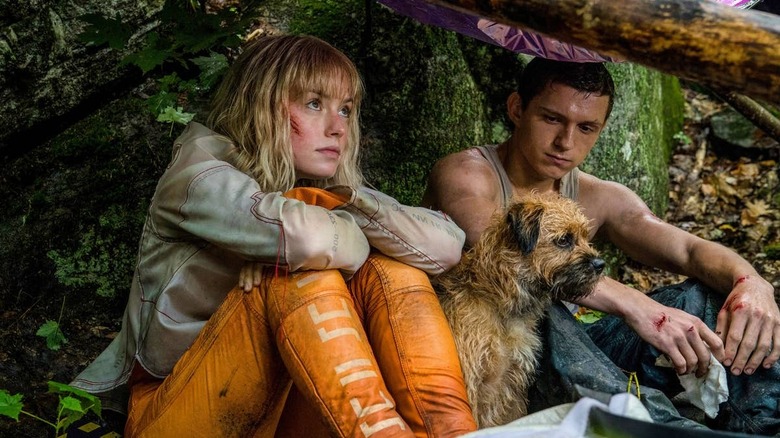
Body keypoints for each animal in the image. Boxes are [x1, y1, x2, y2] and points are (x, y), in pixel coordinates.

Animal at [436, 192, 608, 428]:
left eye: (584, 237)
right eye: (564, 240)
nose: (601, 264)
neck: (500, 302)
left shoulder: (514, 384)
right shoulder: (471, 381)